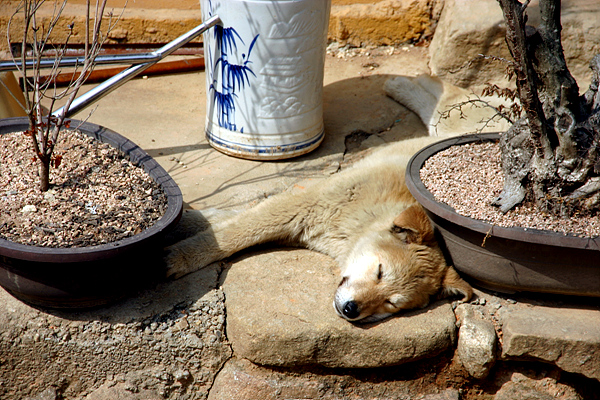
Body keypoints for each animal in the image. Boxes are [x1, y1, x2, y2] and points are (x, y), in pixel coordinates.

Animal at [164, 136, 474, 324]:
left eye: (391, 303)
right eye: (380, 271)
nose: (351, 310)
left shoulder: (297, 225)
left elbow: (238, 226)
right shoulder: (304, 204)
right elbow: (231, 235)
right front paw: (177, 257)